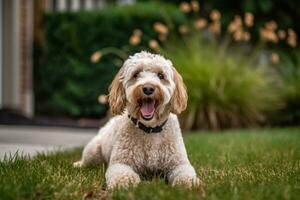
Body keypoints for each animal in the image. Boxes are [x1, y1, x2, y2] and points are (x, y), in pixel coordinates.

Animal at [73, 51, 199, 189]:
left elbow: (185, 173)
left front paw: (188, 183)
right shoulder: (120, 163)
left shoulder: (179, 163)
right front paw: (125, 183)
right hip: (93, 151)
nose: (148, 88)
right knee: (87, 161)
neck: (149, 129)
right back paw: (78, 164)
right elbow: (121, 174)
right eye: (136, 74)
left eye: (161, 75)